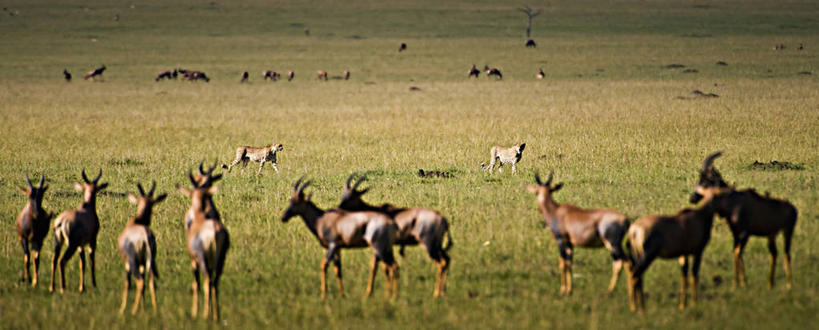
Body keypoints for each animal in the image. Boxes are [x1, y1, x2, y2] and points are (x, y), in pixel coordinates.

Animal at [117, 183, 166, 314]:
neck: (136, 222)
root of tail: (144, 238)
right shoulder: (142, 264)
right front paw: (143, 308)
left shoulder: (128, 263)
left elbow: (127, 284)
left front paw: (122, 309)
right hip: (149, 261)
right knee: (150, 282)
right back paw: (154, 309)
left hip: (133, 261)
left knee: (140, 282)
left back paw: (133, 311)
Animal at [178, 170, 229, 320]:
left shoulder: (194, 260)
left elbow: (196, 283)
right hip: (219, 260)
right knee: (214, 283)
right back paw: (215, 316)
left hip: (203, 260)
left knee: (206, 282)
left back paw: (206, 315)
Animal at [688, 152, 796, 288]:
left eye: (707, 181)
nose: (693, 198)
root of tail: (792, 208)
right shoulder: (736, 233)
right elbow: (737, 252)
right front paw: (741, 282)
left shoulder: (745, 233)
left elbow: (737, 252)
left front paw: (739, 284)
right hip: (772, 235)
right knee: (775, 253)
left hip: (787, 232)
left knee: (786, 253)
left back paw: (788, 285)